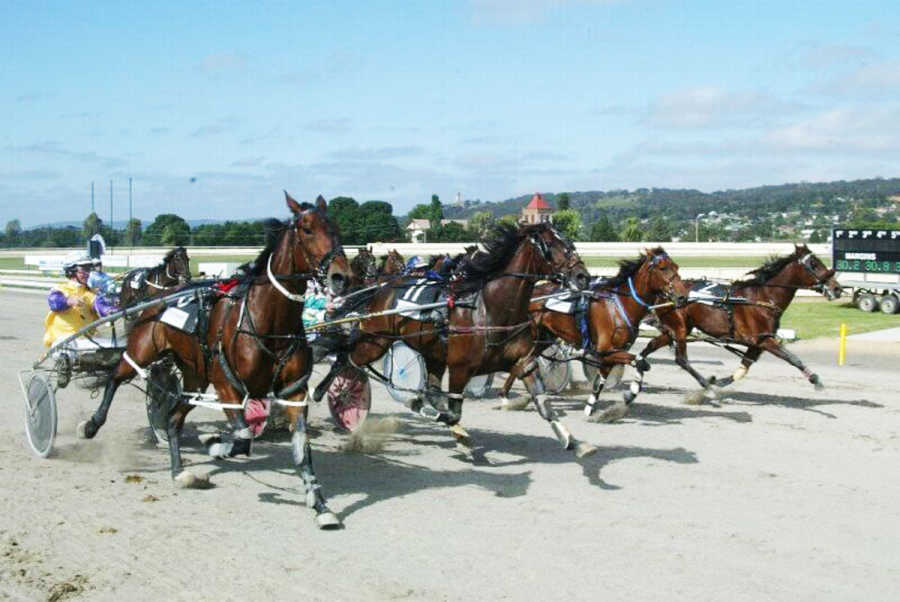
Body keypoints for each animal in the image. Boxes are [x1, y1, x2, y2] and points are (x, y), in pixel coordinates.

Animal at [76, 191, 352, 524]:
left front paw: (321, 505)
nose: (342, 277)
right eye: (308, 229)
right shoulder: (227, 385)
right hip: (143, 350)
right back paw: (91, 425)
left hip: (196, 375)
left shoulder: (294, 392)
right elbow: (244, 437)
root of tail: (158, 297)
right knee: (116, 376)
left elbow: (302, 449)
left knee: (174, 417)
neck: (269, 322)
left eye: (336, 229)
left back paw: (179, 471)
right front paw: (215, 444)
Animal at [348, 223, 596, 452]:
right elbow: (451, 413)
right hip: (375, 341)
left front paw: (573, 442)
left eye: (569, 243)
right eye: (552, 246)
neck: (489, 310)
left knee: (432, 389)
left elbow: (544, 405)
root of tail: (382, 289)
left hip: (432, 353)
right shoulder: (460, 368)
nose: (583, 276)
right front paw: (422, 407)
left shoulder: (524, 362)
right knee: (350, 360)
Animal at [500, 246, 688, 420]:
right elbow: (642, 362)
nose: (683, 297)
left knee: (520, 364)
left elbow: (602, 380)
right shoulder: (604, 350)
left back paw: (507, 396)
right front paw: (631, 392)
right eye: (663, 268)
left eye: (677, 267)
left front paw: (591, 407)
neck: (619, 306)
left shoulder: (611, 353)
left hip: (543, 339)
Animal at [636, 239, 840, 398]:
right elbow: (792, 358)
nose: (837, 288)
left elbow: (744, 367)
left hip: (678, 327)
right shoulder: (763, 339)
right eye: (814, 264)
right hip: (679, 327)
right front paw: (815, 380)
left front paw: (717, 381)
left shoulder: (758, 342)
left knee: (651, 346)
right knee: (680, 359)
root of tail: (663, 293)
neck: (762, 298)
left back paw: (641, 364)